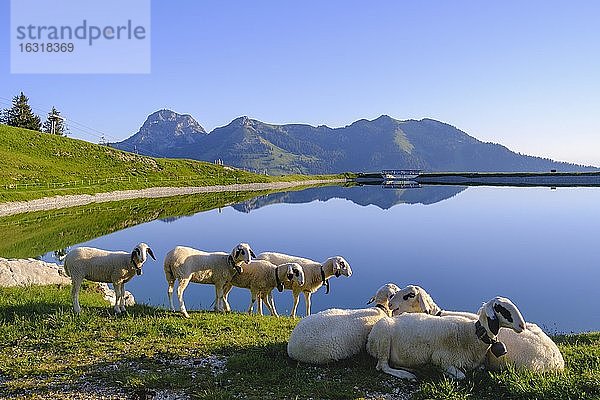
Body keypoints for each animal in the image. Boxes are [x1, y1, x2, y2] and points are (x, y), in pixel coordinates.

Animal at [368, 296, 528, 380]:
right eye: (502, 309)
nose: (522, 326)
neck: (471, 334)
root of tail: (369, 343)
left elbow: (480, 368)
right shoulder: (442, 359)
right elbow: (461, 376)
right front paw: (443, 372)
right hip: (383, 339)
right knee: (382, 366)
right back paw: (405, 374)